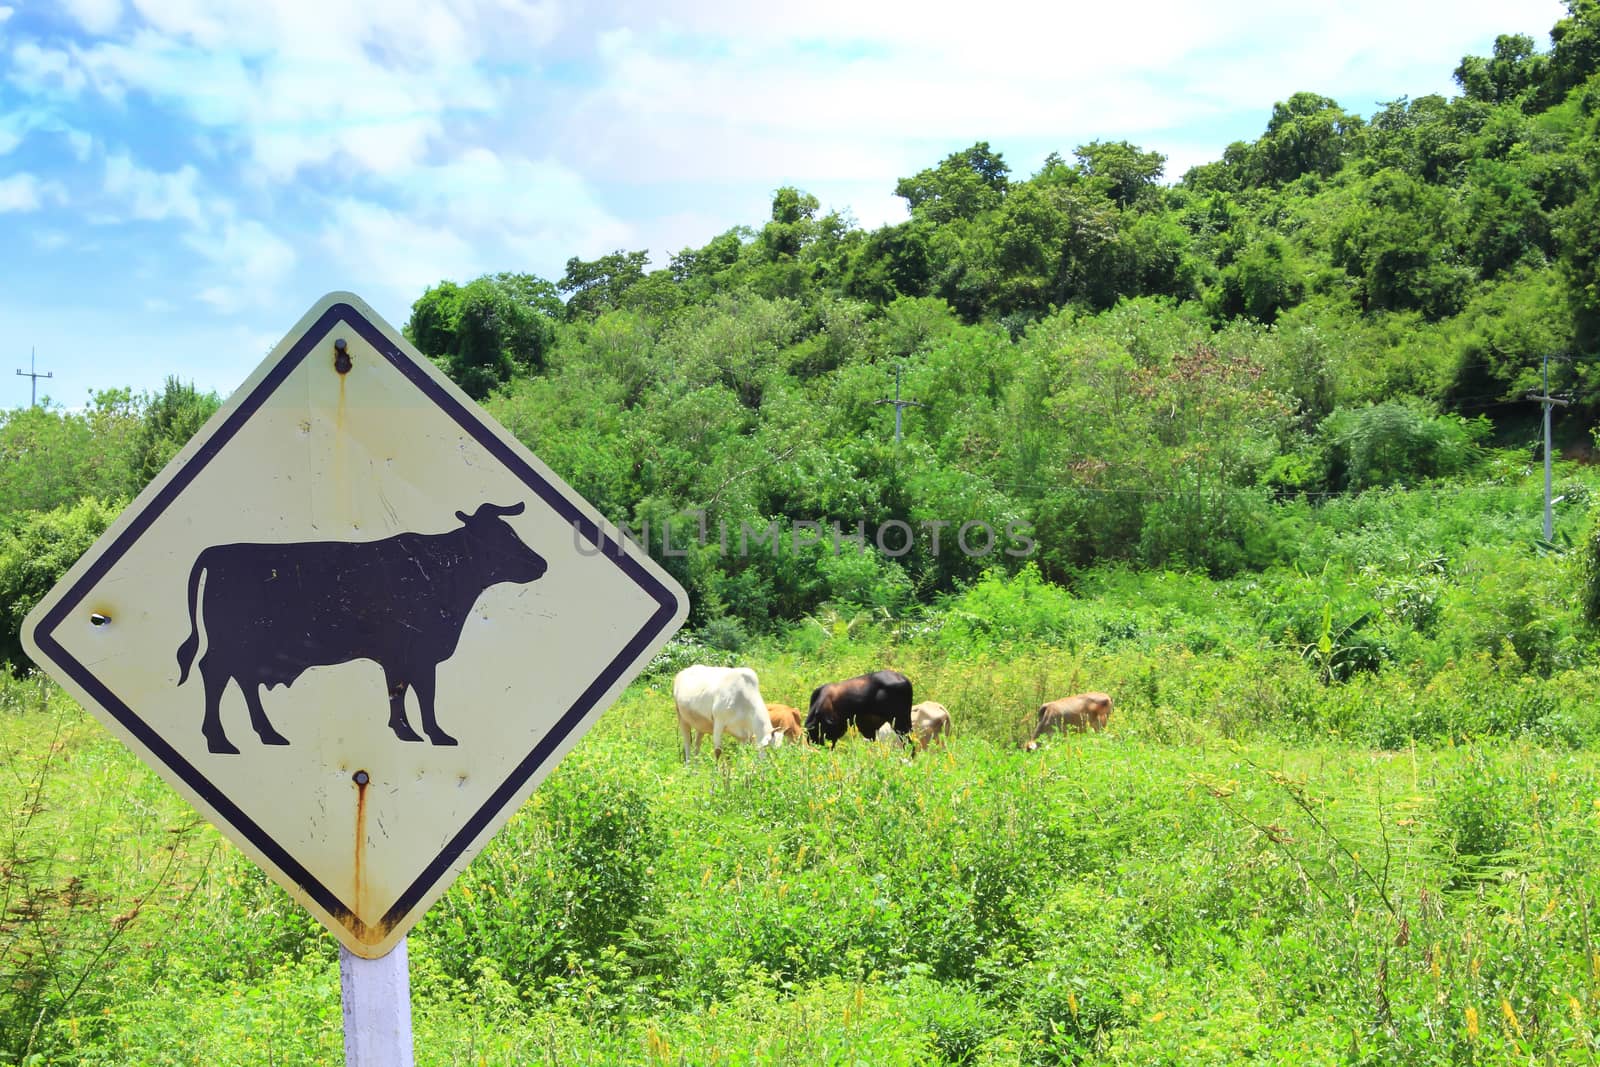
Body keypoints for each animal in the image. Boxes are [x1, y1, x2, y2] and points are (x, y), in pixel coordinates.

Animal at [179, 505, 547, 755]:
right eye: (501, 536)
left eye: (512, 532)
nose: (541, 563)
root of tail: (217, 552)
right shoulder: (419, 654)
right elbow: (423, 694)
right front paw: (435, 735)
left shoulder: (400, 657)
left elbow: (399, 692)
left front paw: (406, 731)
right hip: (232, 641)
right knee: (214, 673)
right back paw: (219, 740)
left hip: (248, 647)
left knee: (241, 679)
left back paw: (267, 734)